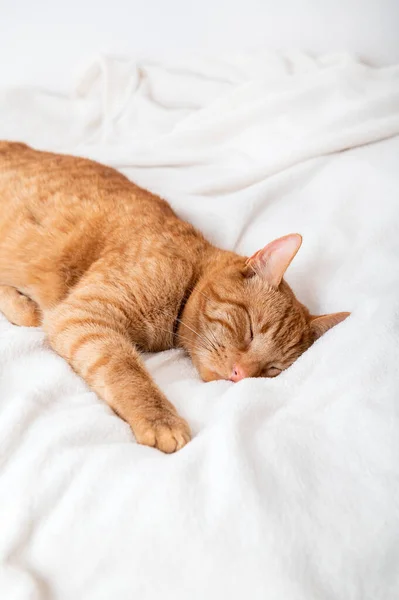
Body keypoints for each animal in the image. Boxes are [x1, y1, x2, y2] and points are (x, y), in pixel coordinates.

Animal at [0, 142, 350, 450]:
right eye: (250, 330)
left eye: (272, 369)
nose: (240, 375)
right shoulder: (86, 315)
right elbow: (127, 371)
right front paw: (160, 420)